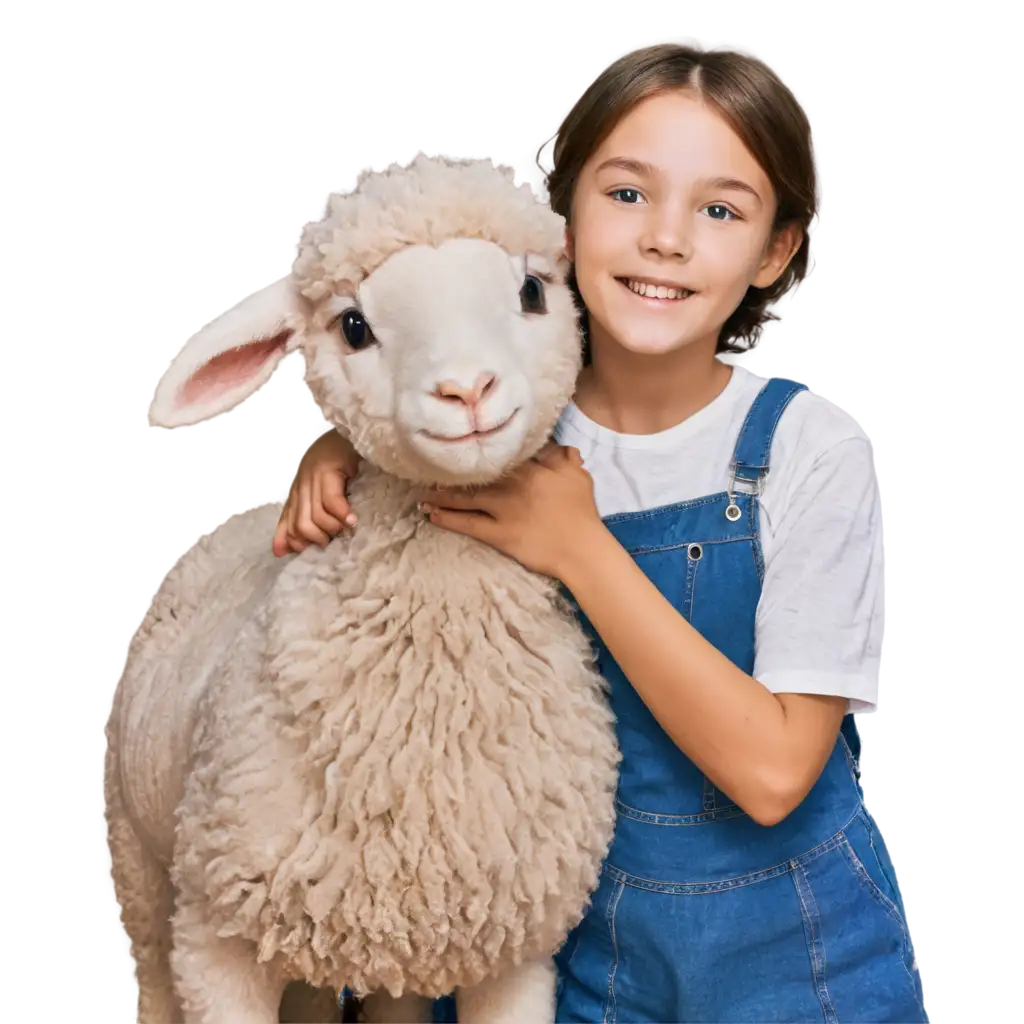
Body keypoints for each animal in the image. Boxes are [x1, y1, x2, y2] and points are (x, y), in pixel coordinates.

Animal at [101, 153, 614, 1024]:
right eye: (353, 326)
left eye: (532, 290)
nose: (467, 391)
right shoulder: (214, 938)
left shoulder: (515, 946)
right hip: (139, 861)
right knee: (146, 973)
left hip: (368, 940)